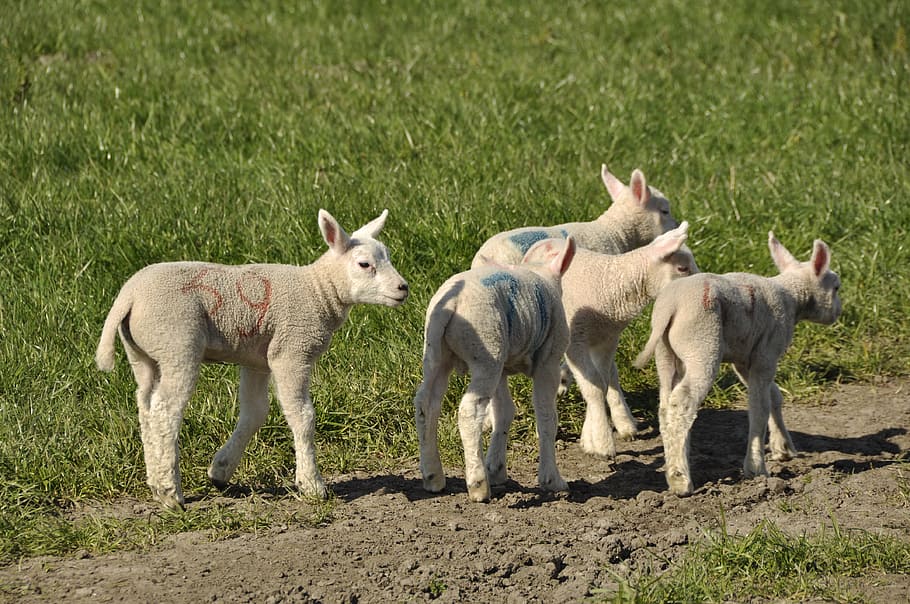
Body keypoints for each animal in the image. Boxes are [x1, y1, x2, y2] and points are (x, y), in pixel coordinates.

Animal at [95, 209, 409, 509]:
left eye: (388, 256)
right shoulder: (291, 350)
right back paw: (170, 493)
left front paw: (220, 471)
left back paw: (156, 480)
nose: (403, 287)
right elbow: (302, 416)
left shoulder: (257, 358)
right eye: (364, 264)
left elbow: (255, 413)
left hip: (143, 354)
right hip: (176, 342)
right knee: (165, 410)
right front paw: (311, 485)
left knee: (146, 406)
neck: (318, 291)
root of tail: (129, 295)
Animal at [413, 237, 577, 503]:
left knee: (426, 404)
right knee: (469, 410)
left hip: (440, 352)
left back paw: (433, 476)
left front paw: (497, 470)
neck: (539, 271)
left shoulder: (503, 364)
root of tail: (452, 303)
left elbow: (504, 412)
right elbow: (546, 416)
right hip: (486, 350)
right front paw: (553, 480)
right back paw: (478, 484)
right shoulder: (549, 362)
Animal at [521, 221, 698, 459]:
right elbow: (594, 386)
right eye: (682, 268)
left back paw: (624, 422)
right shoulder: (577, 340)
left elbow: (601, 384)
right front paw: (603, 444)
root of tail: (544, 241)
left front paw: (591, 437)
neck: (613, 283)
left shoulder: (607, 341)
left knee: (611, 376)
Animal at [634, 232, 841, 496]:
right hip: (702, 342)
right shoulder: (766, 353)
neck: (791, 296)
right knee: (683, 401)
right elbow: (759, 406)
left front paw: (783, 447)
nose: (838, 312)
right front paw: (756, 468)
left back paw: (677, 460)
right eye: (836, 287)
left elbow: (773, 396)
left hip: (665, 354)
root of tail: (670, 307)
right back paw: (680, 479)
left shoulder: (744, 359)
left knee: (666, 405)